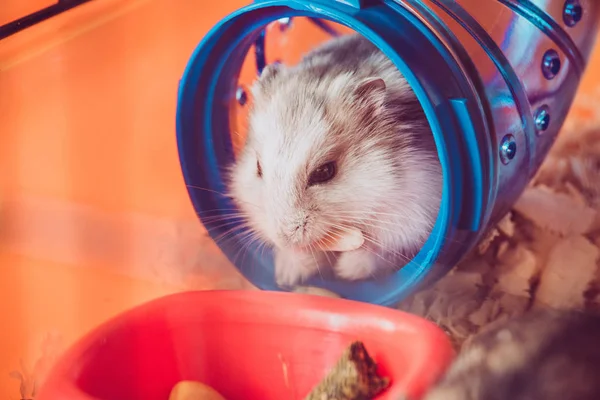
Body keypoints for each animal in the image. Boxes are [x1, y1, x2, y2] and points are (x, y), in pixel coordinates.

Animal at [227, 32, 442, 286]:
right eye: (259, 168)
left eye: (325, 172)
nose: (285, 238)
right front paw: (287, 275)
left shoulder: (412, 215)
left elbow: (378, 249)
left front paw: (345, 271)